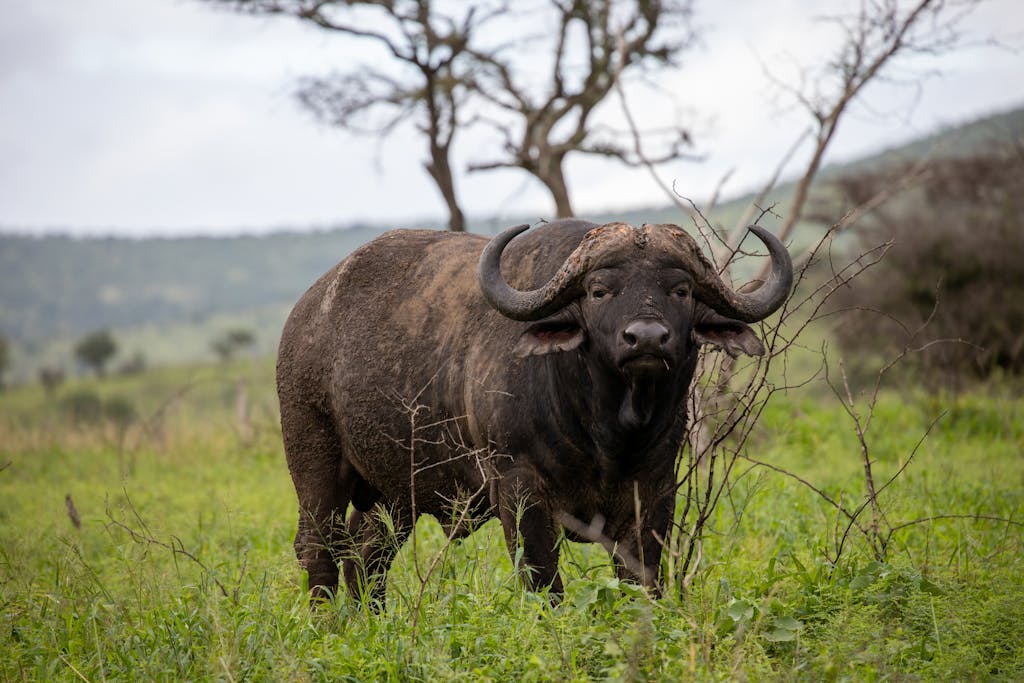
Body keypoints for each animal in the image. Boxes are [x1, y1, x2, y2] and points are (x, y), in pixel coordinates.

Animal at [277, 219, 792, 602]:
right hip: (314, 460)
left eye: (680, 290)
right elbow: (543, 580)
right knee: (317, 546)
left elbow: (642, 578)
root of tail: (306, 312)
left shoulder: (655, 488)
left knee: (366, 553)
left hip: (394, 492)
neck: (608, 432)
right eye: (599, 290)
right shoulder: (519, 489)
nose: (646, 338)